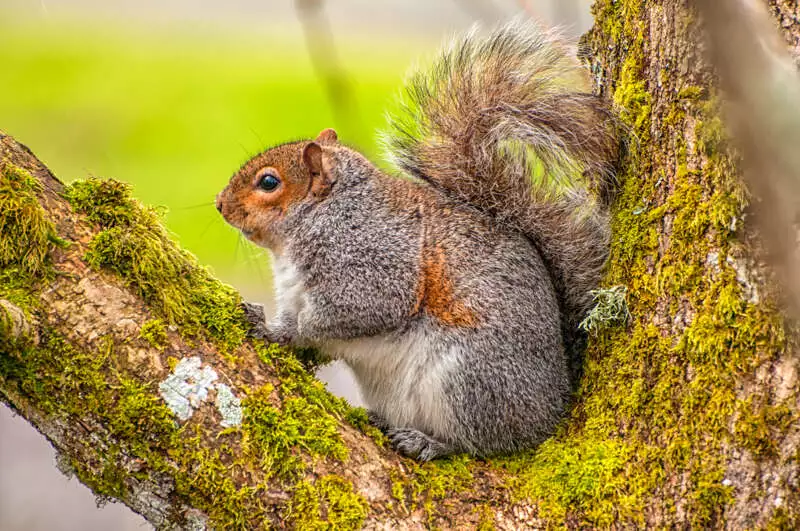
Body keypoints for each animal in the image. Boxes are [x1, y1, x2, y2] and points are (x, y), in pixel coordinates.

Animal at [216, 20, 619, 461]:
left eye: (269, 182)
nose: (219, 205)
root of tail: (555, 404)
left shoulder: (368, 255)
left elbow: (358, 309)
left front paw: (283, 333)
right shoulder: (293, 289)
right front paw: (268, 323)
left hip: (468, 380)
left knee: (484, 443)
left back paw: (429, 442)